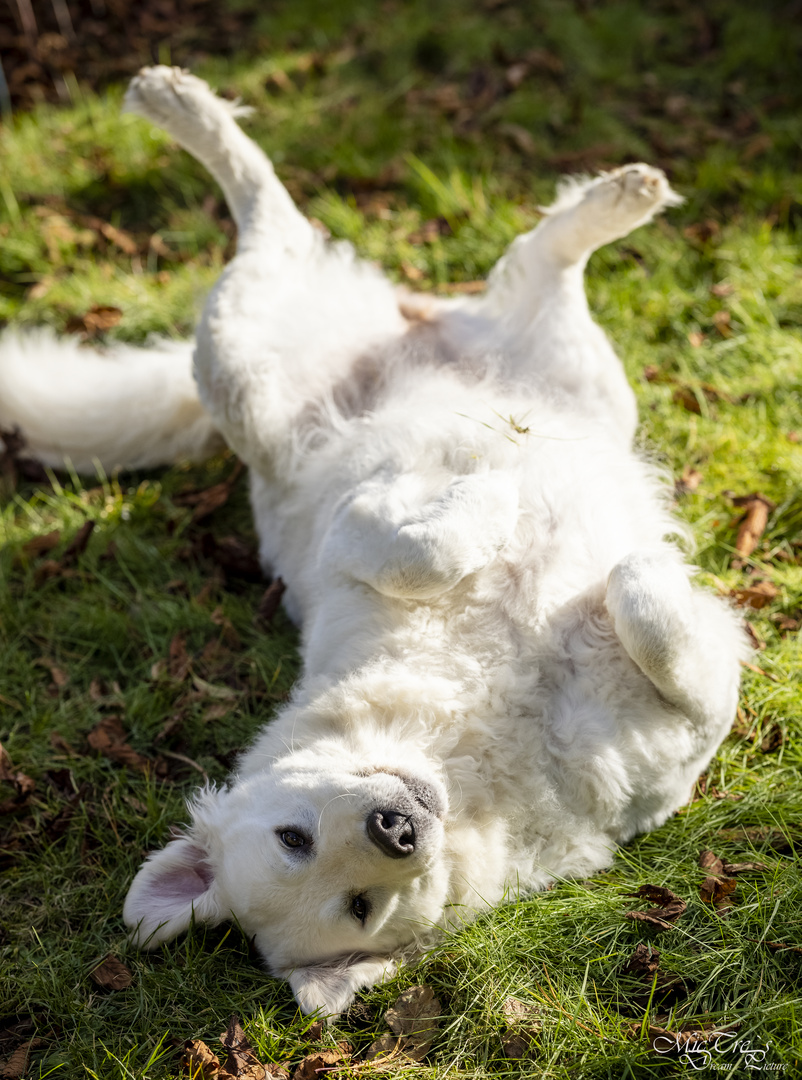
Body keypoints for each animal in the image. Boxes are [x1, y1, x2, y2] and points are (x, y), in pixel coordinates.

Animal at [0, 69, 746, 1019]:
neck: (471, 748)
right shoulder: (684, 735)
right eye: (356, 904)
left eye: (292, 834)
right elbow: (645, 608)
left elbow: (426, 545)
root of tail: (403, 321)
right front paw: (602, 552)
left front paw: (504, 503)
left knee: (315, 217)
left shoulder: (358, 527)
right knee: (330, 233)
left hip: (496, 372)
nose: (395, 829)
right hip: (251, 376)